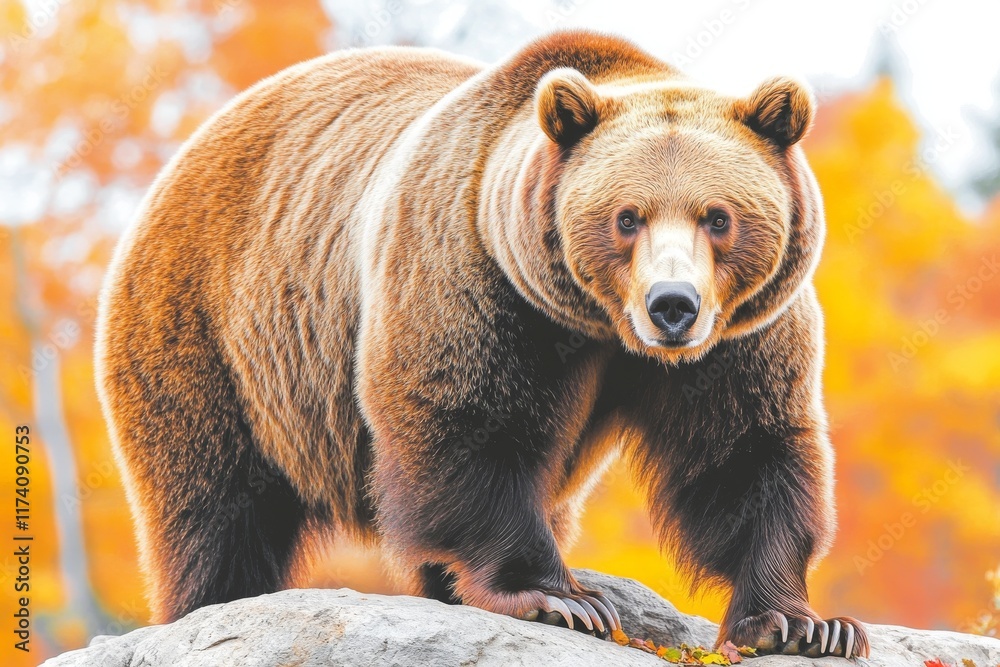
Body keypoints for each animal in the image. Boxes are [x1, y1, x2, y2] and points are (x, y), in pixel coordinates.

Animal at [95, 30, 869, 658]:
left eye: (718, 216)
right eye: (627, 216)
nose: (672, 305)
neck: (596, 325)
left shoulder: (740, 335)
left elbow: (744, 449)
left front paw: (802, 623)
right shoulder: (477, 277)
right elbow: (467, 425)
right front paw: (559, 597)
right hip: (212, 330)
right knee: (214, 499)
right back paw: (212, 599)